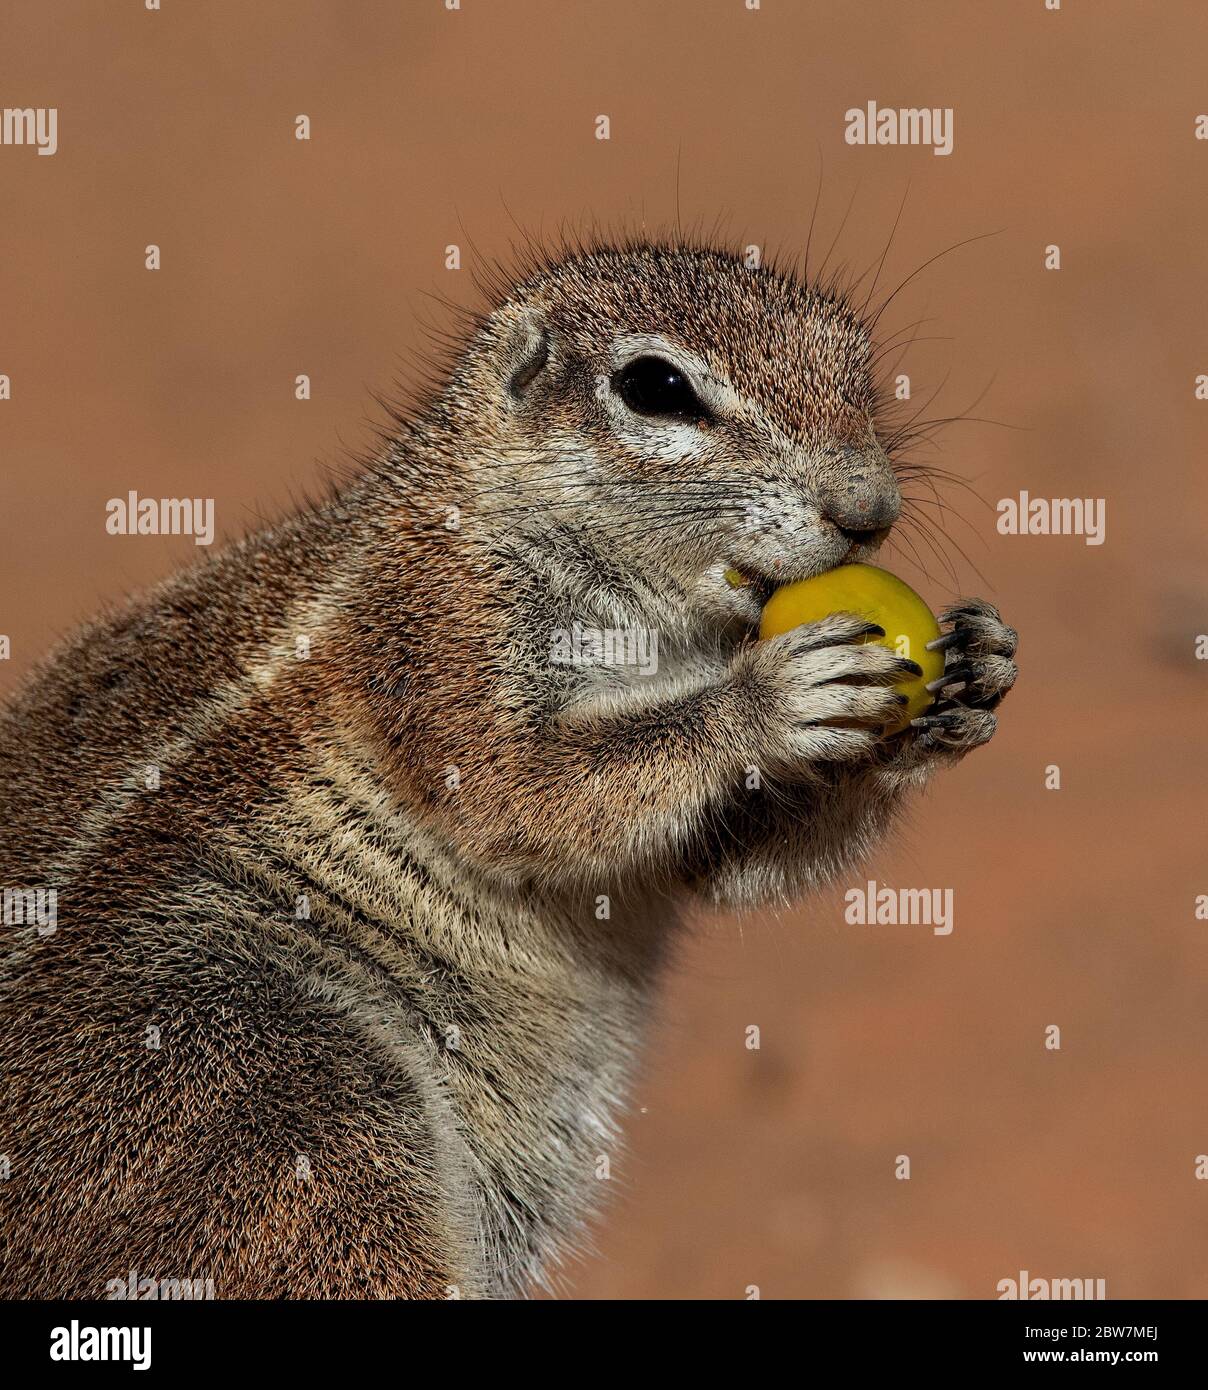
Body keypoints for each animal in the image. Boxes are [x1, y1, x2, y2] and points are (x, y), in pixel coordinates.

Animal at [0, 236, 1017, 1289]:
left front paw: (971, 675)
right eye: (656, 388)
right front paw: (769, 698)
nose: (869, 508)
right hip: (283, 1110)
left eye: (859, 364)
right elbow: (520, 787)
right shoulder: (438, 630)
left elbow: (726, 860)